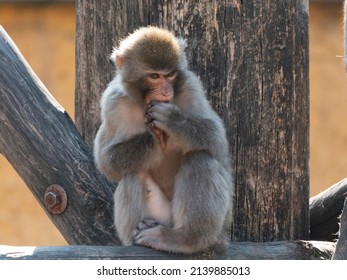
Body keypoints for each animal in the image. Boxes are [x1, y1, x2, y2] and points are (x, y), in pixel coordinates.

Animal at [94, 26, 234, 254]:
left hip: (218, 227)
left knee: (200, 159)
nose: (167, 91)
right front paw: (152, 137)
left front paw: (172, 122)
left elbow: (216, 139)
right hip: (163, 216)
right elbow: (107, 162)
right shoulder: (113, 103)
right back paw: (143, 230)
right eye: (154, 76)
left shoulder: (191, 87)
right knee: (133, 172)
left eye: (170, 75)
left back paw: (184, 239)